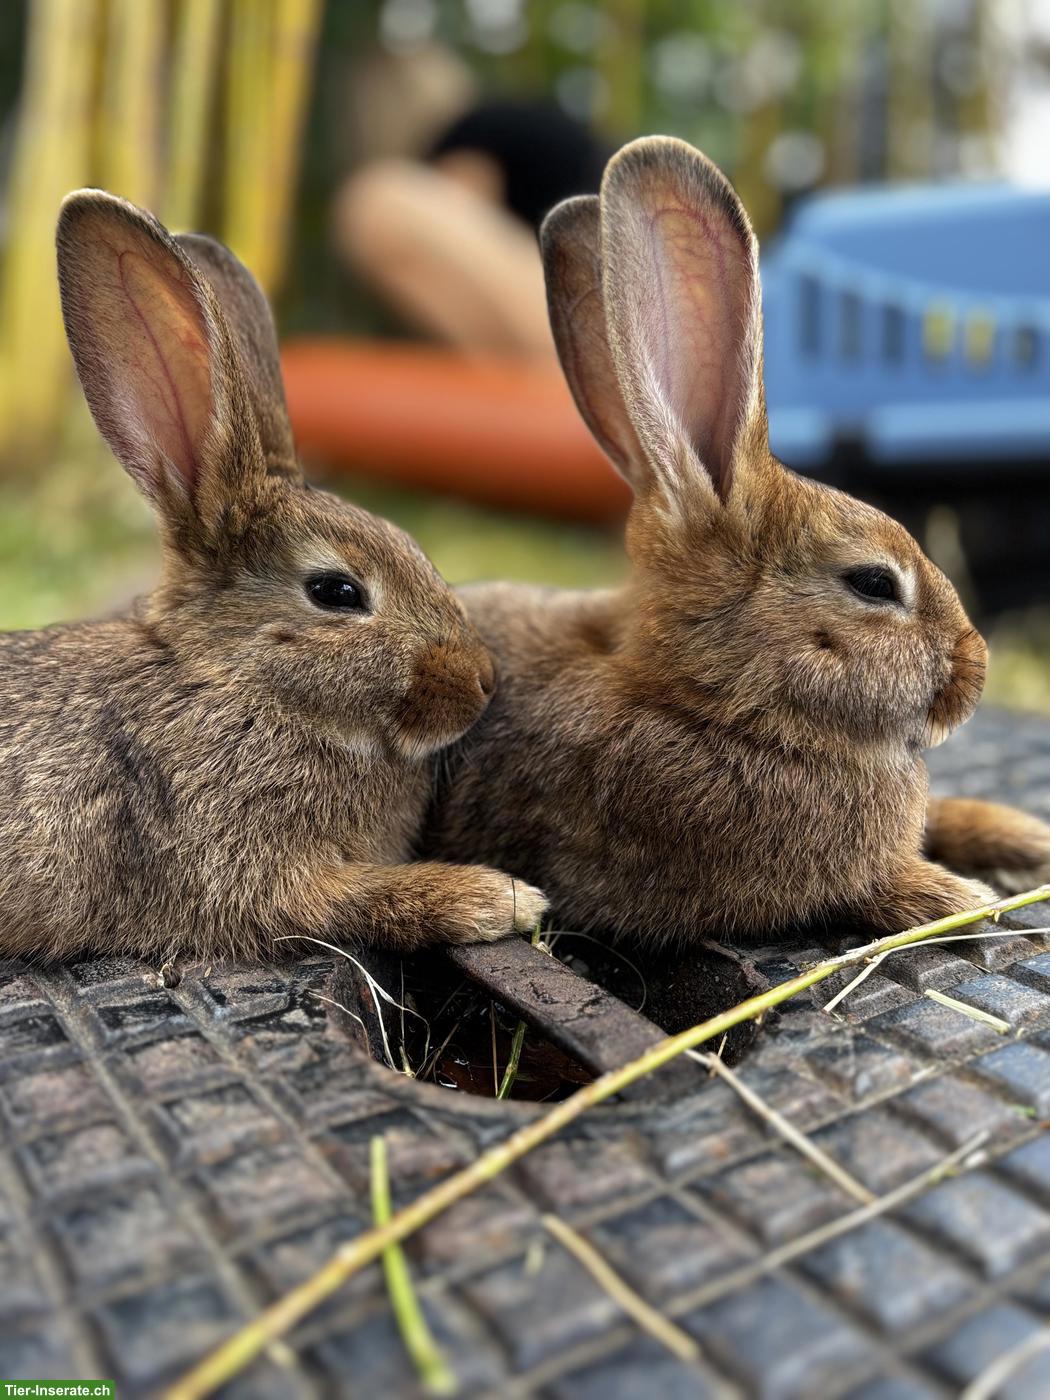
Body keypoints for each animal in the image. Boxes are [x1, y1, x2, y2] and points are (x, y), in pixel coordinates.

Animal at [0, 189, 546, 967]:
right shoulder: (246, 870)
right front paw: (497, 899)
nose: (482, 682)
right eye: (337, 593)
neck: (232, 684)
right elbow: (361, 901)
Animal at [424, 135, 1050, 943]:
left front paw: (1022, 833)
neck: (705, 698)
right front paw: (958, 895)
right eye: (874, 583)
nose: (975, 673)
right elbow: (871, 888)